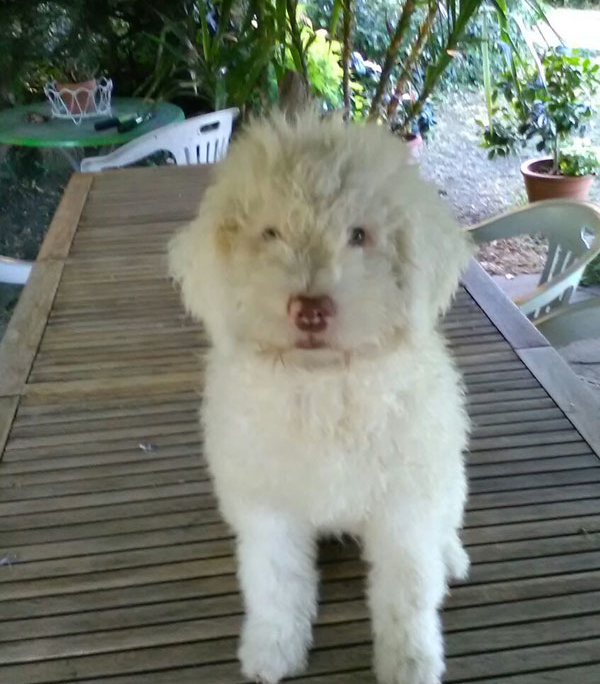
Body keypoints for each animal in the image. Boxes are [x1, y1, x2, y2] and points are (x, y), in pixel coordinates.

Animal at [169, 111, 474, 684]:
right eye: (269, 233)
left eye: (358, 235)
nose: (310, 310)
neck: (324, 387)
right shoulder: (267, 507)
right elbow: (274, 582)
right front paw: (271, 648)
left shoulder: (405, 505)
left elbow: (407, 591)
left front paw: (411, 662)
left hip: (447, 477)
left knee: (445, 525)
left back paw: (452, 557)